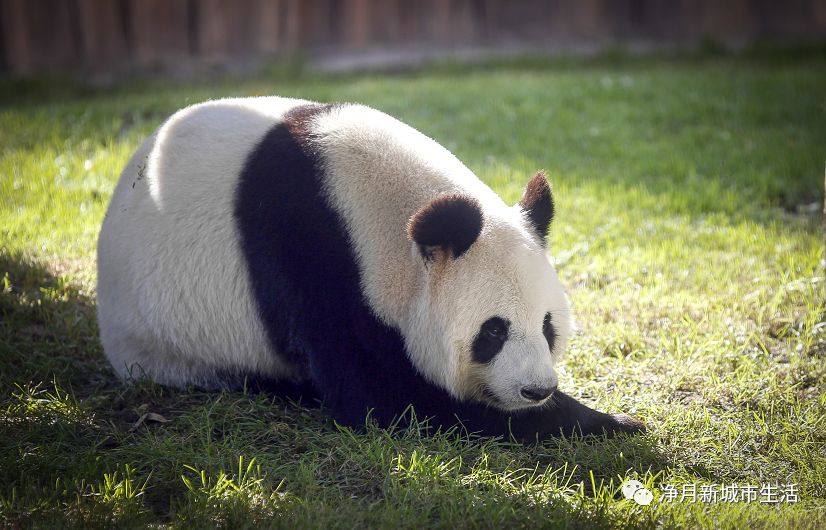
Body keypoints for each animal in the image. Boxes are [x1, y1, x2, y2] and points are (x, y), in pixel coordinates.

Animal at [95, 97, 636, 440]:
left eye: (548, 327)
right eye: (493, 332)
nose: (536, 389)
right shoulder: (314, 263)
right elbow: (388, 399)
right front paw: (608, 422)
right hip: (169, 344)